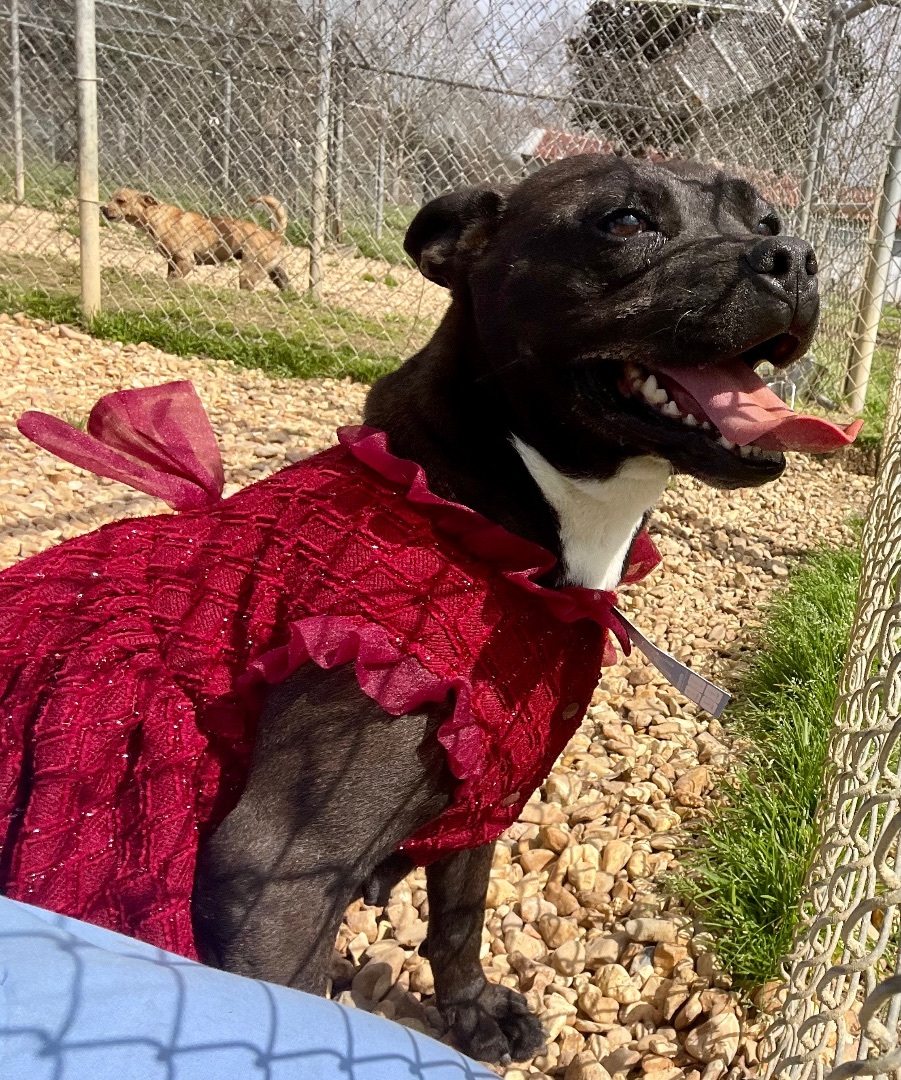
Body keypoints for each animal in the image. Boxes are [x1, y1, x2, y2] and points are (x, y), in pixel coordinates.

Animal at [102, 189, 291, 291]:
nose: (102, 208)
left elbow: (175, 279)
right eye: (110, 198)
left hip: (248, 271)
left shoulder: (186, 259)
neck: (155, 216)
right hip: (275, 273)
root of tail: (275, 235)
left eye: (121, 200)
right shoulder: (172, 261)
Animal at [193, 152, 816, 1062]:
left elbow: (459, 915)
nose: (795, 258)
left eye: (765, 221)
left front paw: (471, 1010)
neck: (479, 512)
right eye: (625, 222)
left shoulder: (482, 791)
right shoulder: (275, 872)